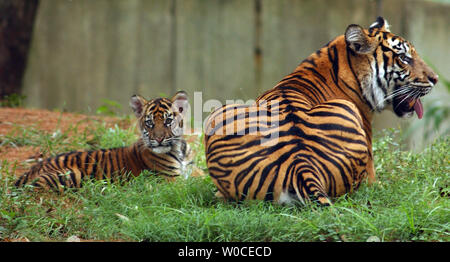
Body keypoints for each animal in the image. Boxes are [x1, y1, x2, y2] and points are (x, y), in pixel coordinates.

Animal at [13, 91, 193, 191]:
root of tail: (30, 170)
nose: (159, 139)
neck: (180, 150)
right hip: (71, 174)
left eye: (168, 121)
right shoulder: (171, 180)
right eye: (149, 123)